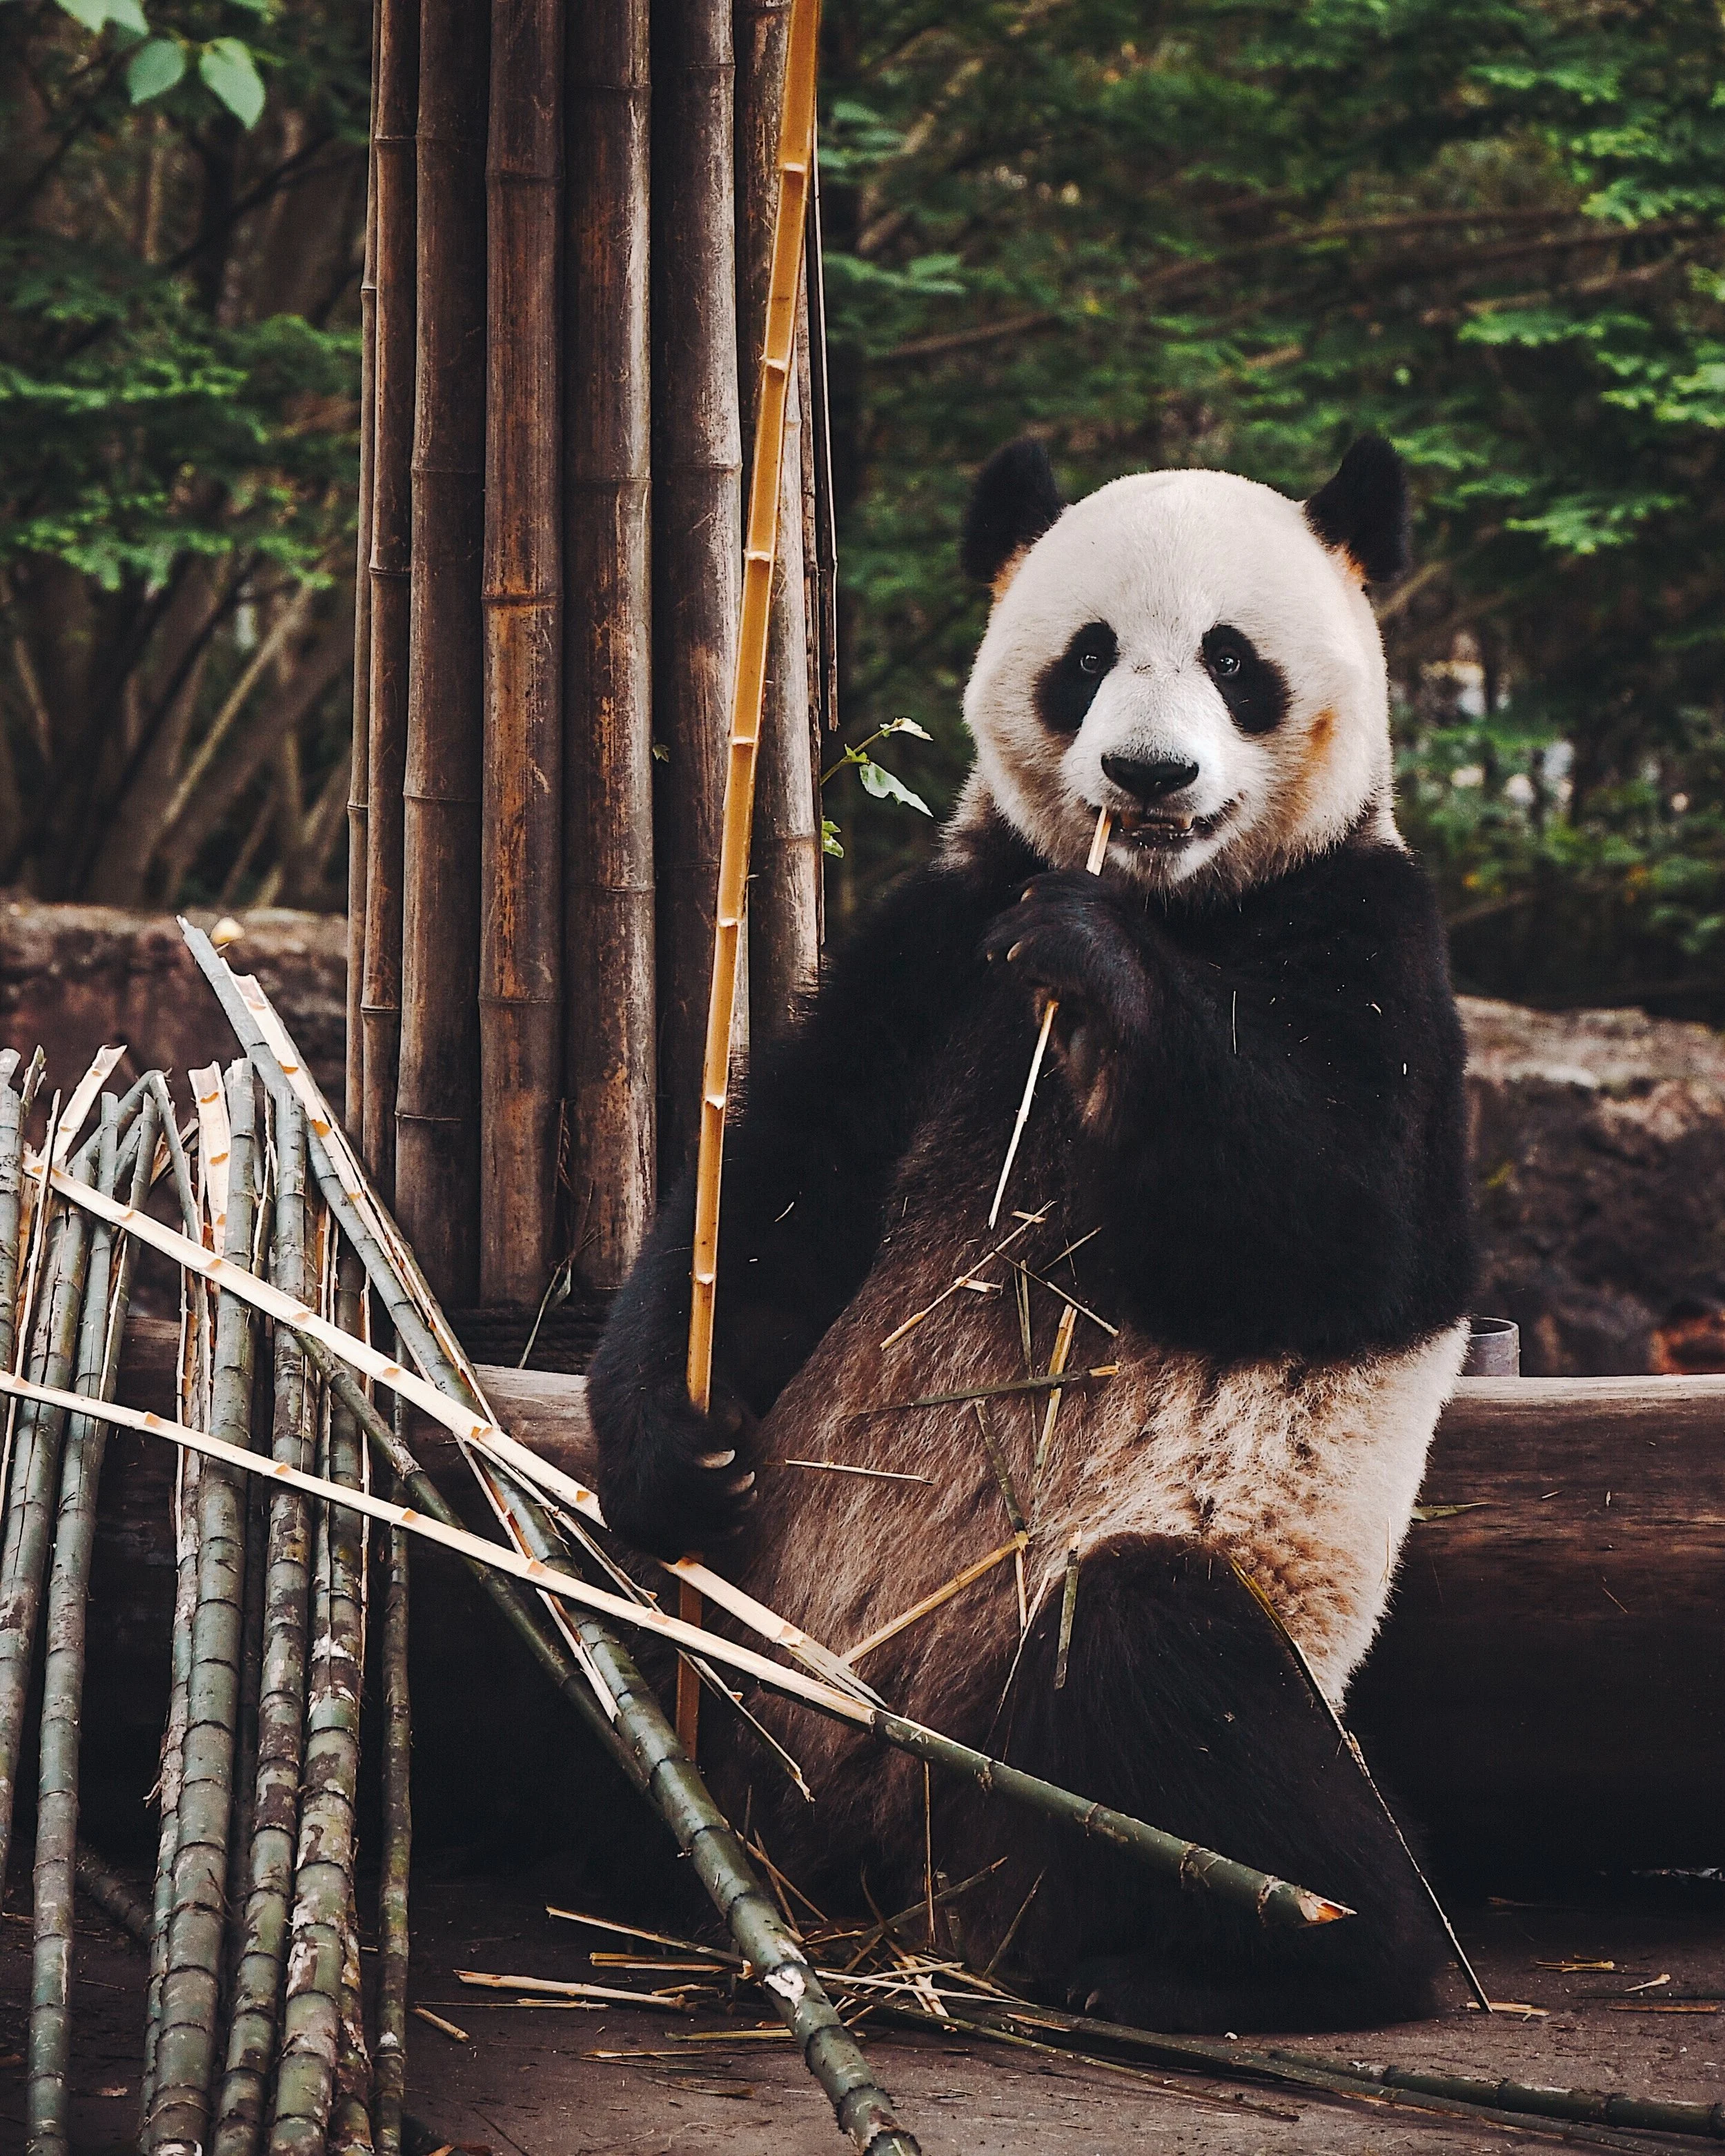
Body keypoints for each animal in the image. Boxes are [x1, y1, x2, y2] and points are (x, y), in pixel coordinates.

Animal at [587, 433, 1477, 2034]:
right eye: (1088, 657)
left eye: (1233, 659)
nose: (1148, 775)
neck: (1177, 900)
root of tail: (900, 1870)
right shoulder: (937, 938)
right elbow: (781, 1185)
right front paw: (678, 1440)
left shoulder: (1370, 929)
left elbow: (1350, 1228)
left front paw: (1095, 963)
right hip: (756, 1629)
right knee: (604, 1591)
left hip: (1093, 1646)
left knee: (1160, 1662)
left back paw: (1253, 1954)